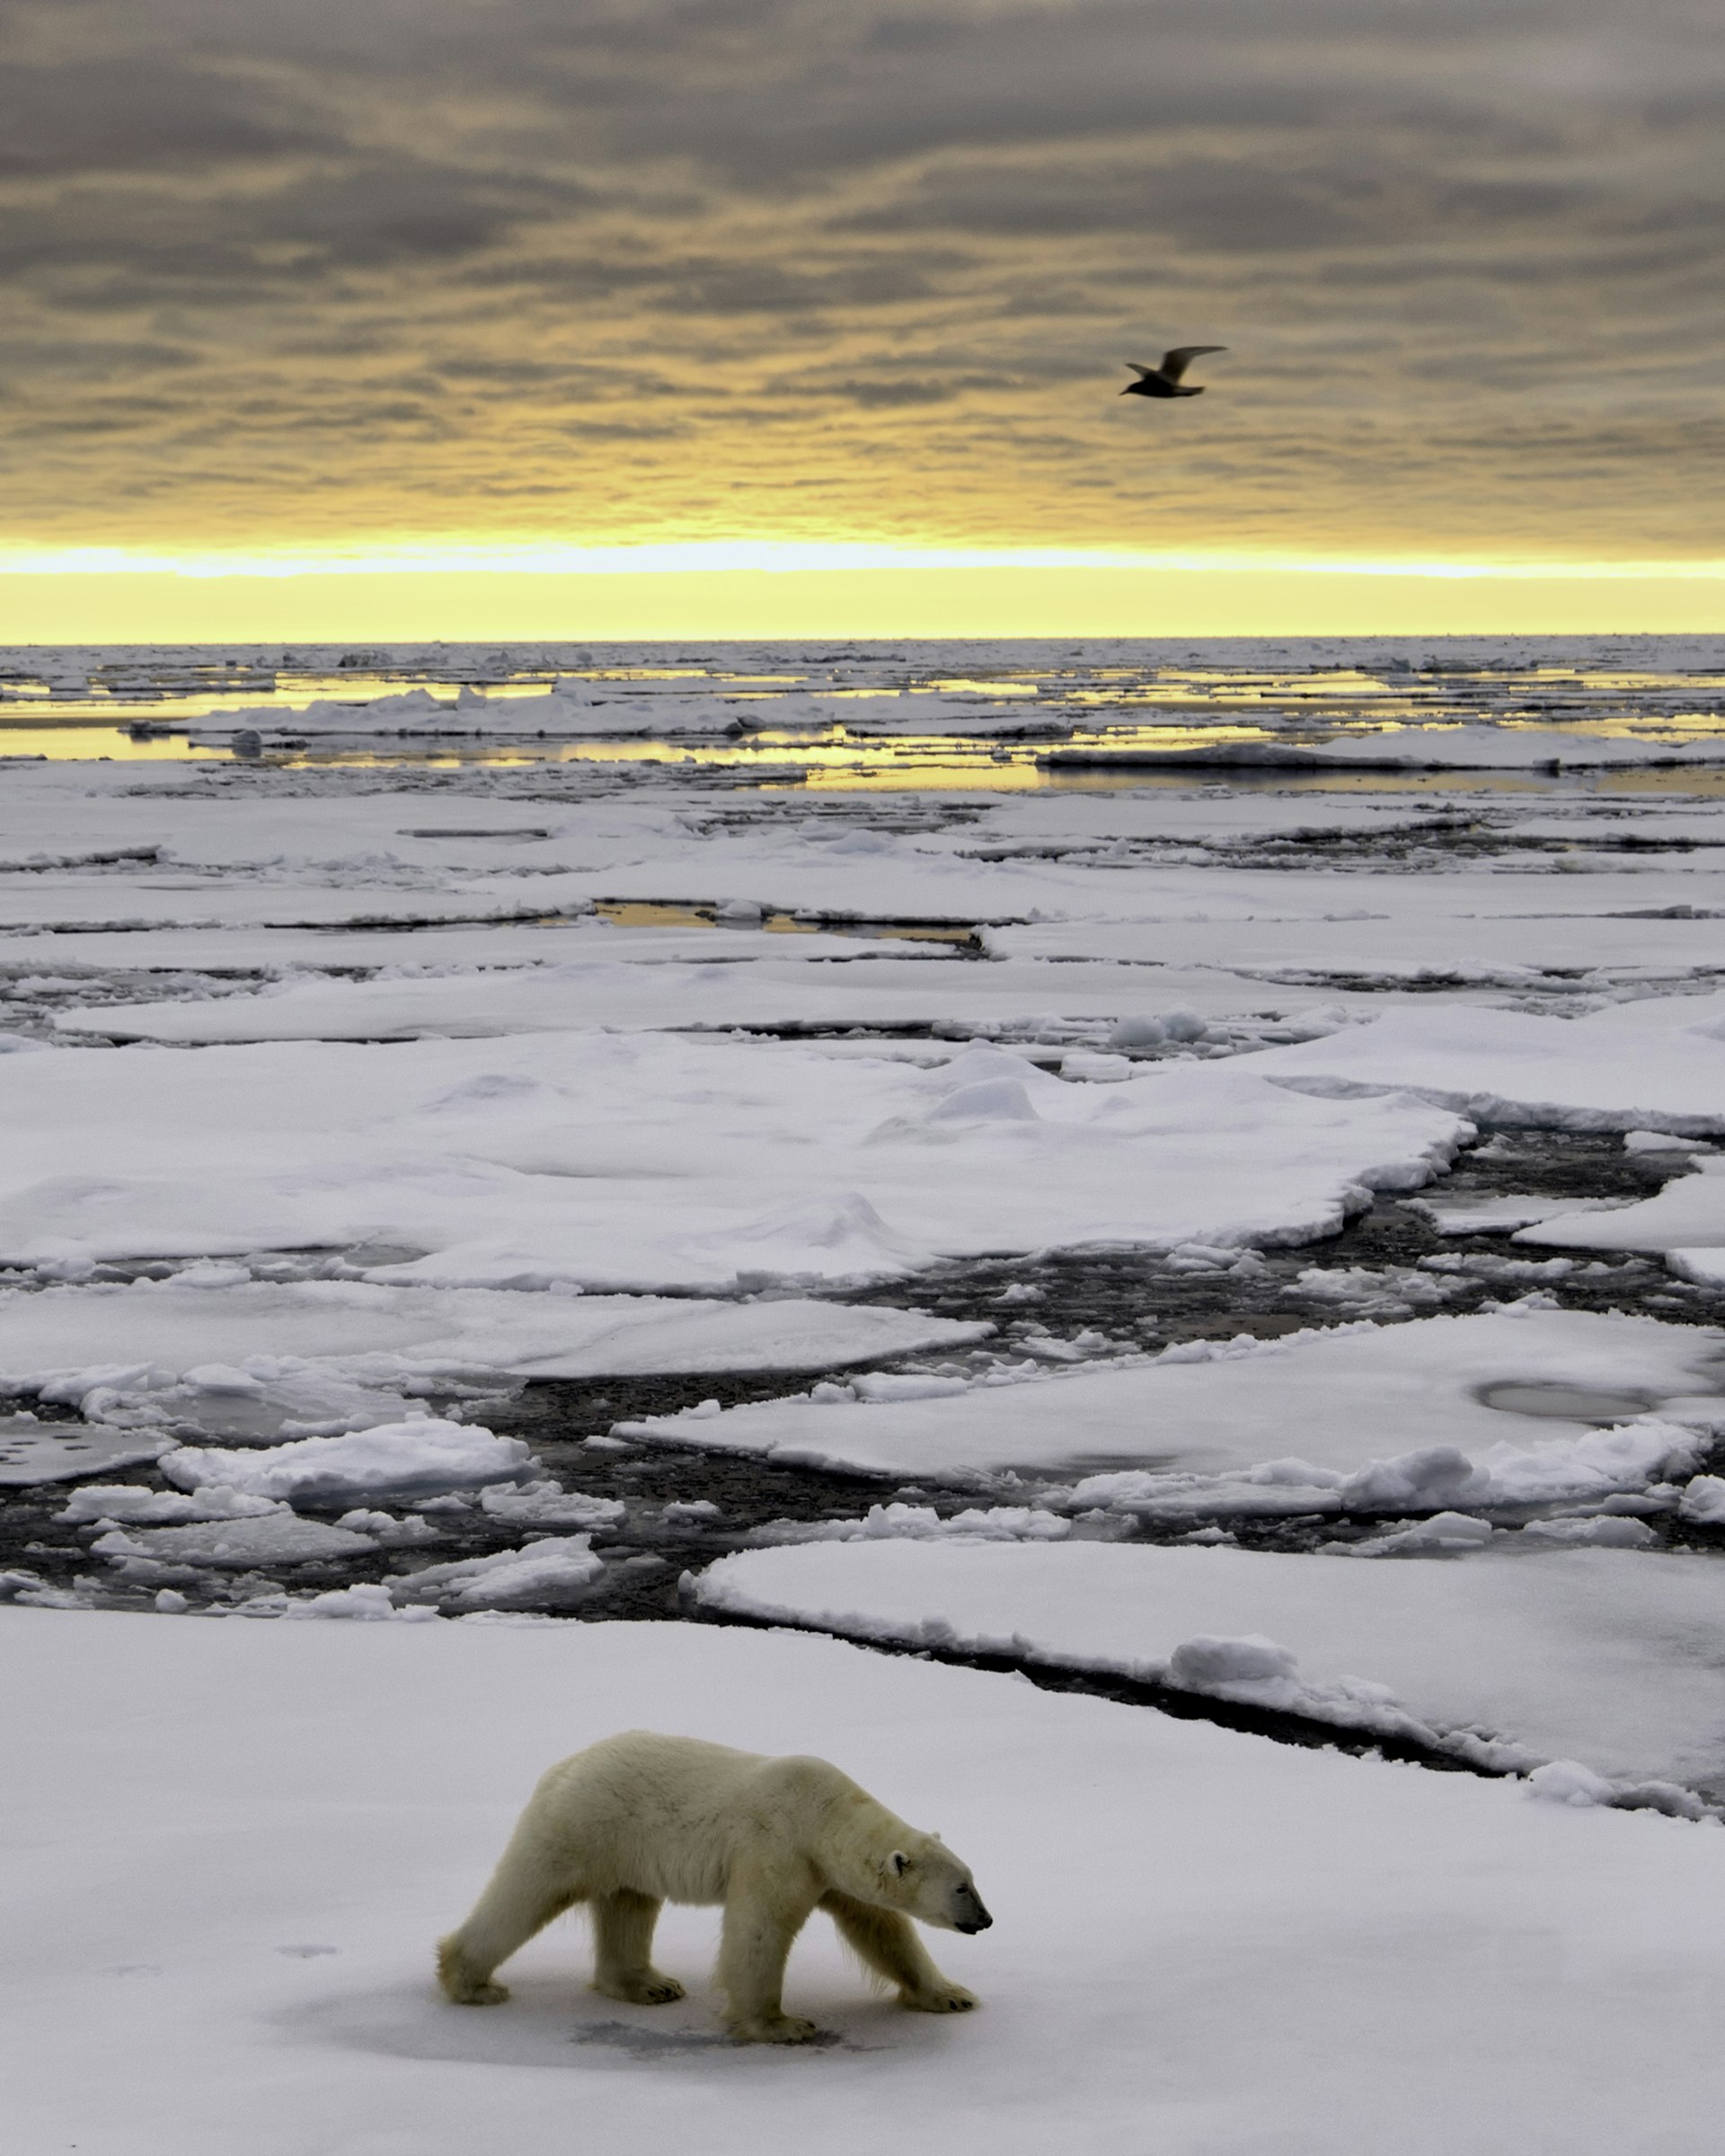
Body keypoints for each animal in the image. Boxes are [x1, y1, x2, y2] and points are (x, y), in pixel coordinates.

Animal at [438, 1725, 992, 2044]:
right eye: (961, 1888)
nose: (986, 1921)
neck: (822, 1814)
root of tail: (562, 1767)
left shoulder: (828, 1873)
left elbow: (882, 1930)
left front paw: (951, 1995)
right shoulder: (777, 1849)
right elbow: (759, 1931)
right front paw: (784, 2025)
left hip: (629, 1847)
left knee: (629, 1906)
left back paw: (651, 1984)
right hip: (584, 1825)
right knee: (527, 1891)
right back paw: (471, 1983)